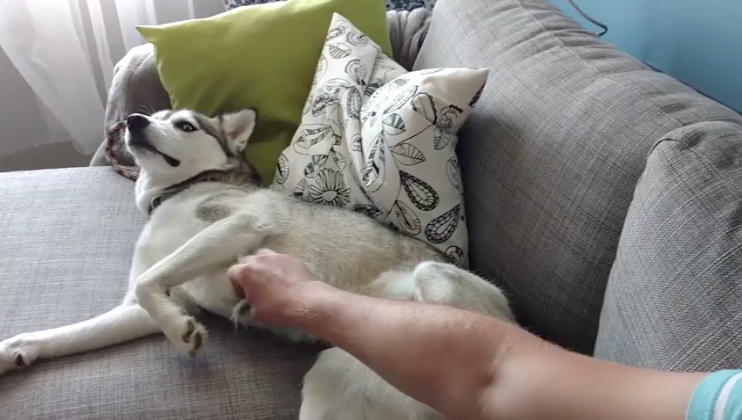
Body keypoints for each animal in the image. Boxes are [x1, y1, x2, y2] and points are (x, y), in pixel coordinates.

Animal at [0, 109, 516, 420]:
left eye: (185, 125)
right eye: (156, 115)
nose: (134, 119)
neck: (175, 194)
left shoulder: (242, 225)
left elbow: (150, 281)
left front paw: (182, 333)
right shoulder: (141, 306)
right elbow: (100, 317)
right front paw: (13, 351)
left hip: (435, 288)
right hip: (334, 380)